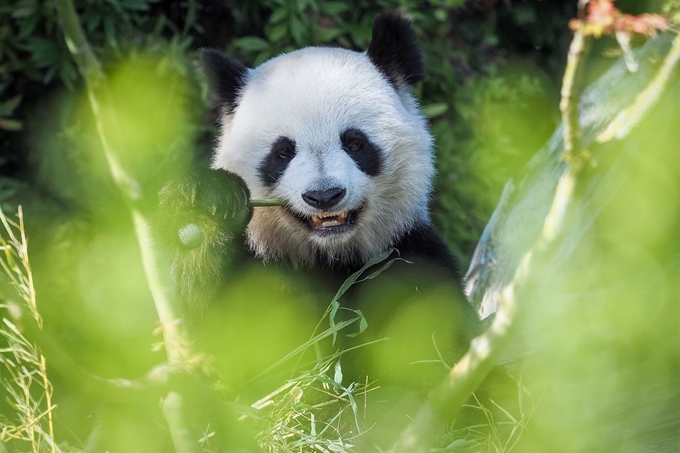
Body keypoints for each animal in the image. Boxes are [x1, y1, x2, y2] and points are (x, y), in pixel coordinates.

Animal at [159, 10, 478, 440]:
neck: (330, 257)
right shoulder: (256, 271)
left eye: (355, 142)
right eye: (282, 152)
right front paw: (208, 204)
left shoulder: (407, 259)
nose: (325, 195)